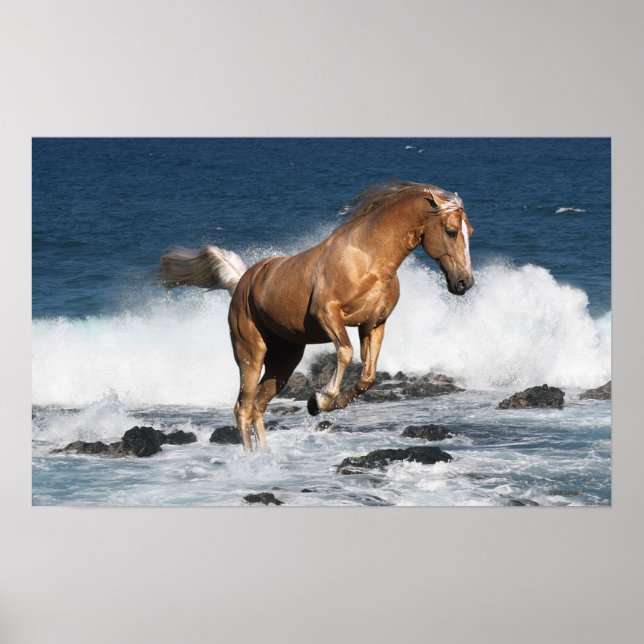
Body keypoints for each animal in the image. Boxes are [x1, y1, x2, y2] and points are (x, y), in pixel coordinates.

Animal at [159, 180, 474, 451]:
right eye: (451, 231)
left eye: (469, 231)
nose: (464, 283)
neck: (369, 258)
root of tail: (242, 283)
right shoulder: (328, 314)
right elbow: (345, 352)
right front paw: (321, 400)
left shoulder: (373, 324)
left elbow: (367, 377)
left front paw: (323, 403)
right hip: (250, 352)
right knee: (243, 406)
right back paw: (251, 463)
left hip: (284, 360)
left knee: (258, 405)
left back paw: (267, 458)